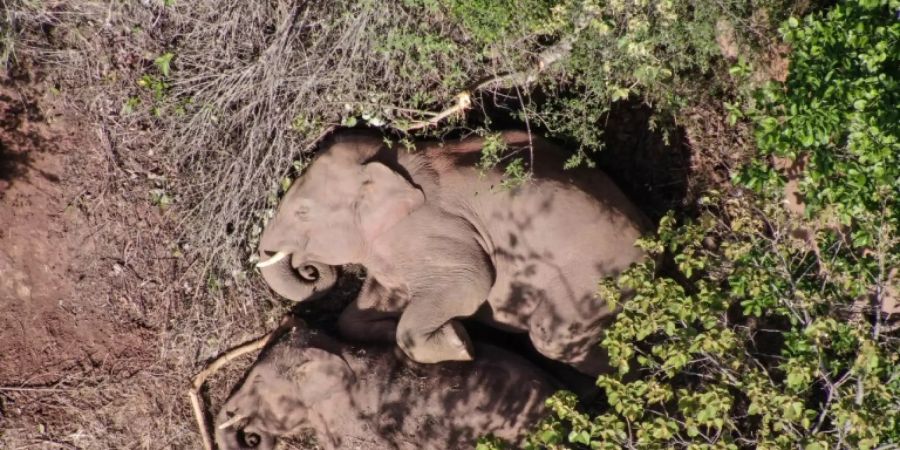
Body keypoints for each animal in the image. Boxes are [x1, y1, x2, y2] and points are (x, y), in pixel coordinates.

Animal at [256, 130, 652, 376]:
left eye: (302, 212)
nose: (309, 268)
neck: (392, 161)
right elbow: (359, 313)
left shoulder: (431, 231)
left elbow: (473, 282)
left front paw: (460, 342)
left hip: (595, 281)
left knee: (554, 339)